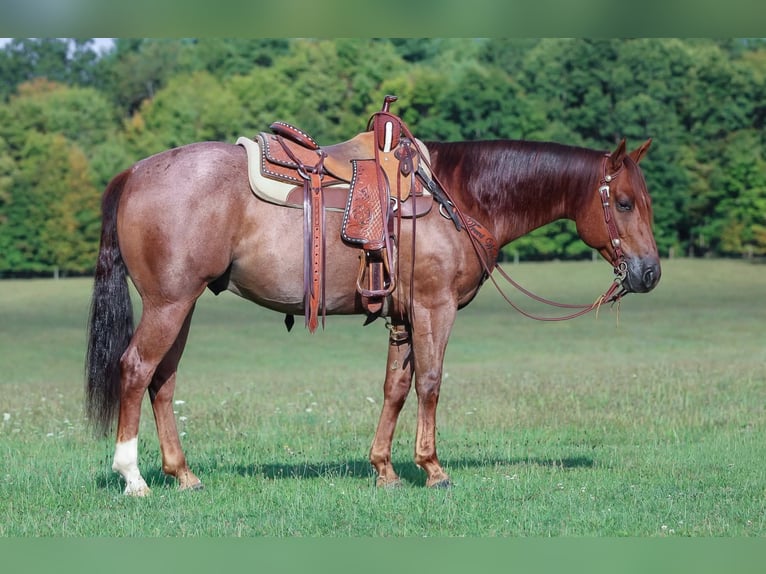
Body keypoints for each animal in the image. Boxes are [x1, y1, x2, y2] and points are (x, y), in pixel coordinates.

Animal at [85, 128, 660, 496]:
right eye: (624, 203)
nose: (650, 273)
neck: (460, 196)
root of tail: (134, 172)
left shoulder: (403, 316)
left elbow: (396, 388)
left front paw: (384, 469)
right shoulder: (434, 308)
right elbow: (430, 382)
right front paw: (432, 468)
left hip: (182, 306)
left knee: (163, 382)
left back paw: (182, 475)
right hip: (169, 304)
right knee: (136, 370)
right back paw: (133, 477)